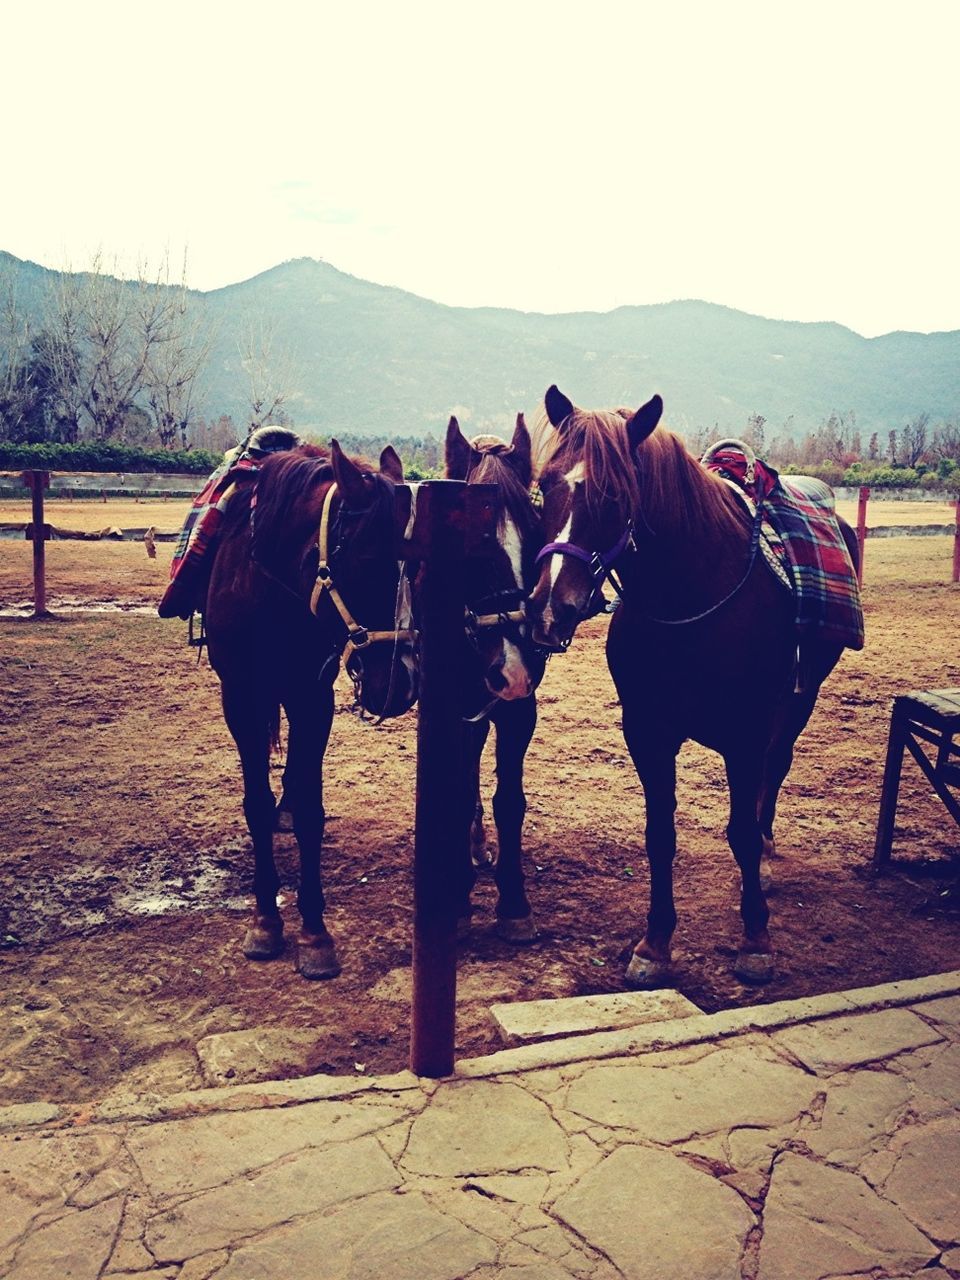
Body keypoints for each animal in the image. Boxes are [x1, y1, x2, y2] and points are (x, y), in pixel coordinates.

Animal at [204, 440, 419, 977]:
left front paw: (315, 933)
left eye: (417, 567)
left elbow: (310, 811)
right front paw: (264, 921)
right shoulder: (241, 696)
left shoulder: (311, 696)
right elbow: (255, 803)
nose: (402, 680)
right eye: (368, 560)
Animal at [527, 384, 865, 983]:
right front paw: (655, 943)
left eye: (616, 496)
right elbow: (660, 835)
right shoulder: (647, 731)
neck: (692, 599)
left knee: (776, 770)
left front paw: (756, 938)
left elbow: (740, 833)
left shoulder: (746, 734)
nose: (549, 609)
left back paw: (768, 846)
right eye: (545, 486)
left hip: (800, 698)